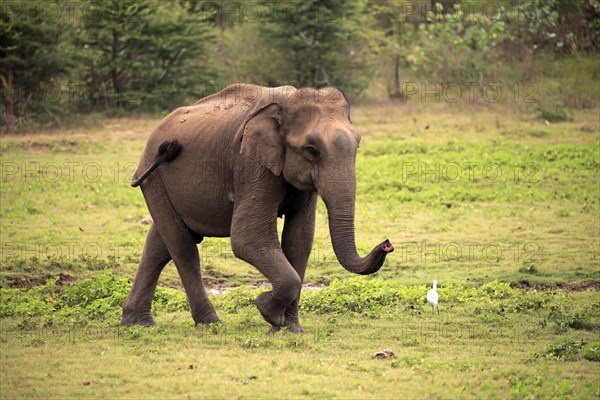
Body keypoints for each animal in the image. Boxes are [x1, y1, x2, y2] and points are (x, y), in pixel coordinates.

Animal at [121, 83, 394, 332]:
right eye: (311, 150)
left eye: (357, 146)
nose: (387, 244)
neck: (287, 104)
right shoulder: (252, 165)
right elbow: (248, 238)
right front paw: (266, 309)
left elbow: (299, 241)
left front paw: (290, 329)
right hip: (155, 177)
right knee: (183, 246)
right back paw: (212, 324)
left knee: (160, 243)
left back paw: (137, 323)